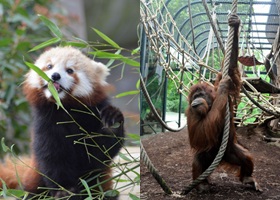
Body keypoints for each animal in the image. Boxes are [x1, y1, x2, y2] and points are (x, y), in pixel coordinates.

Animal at [0, 46, 124, 198]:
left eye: (70, 70)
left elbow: (100, 153)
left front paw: (111, 122)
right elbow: (53, 158)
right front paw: (65, 191)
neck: (65, 109)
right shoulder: (46, 124)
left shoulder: (93, 114)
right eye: (49, 66)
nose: (55, 76)